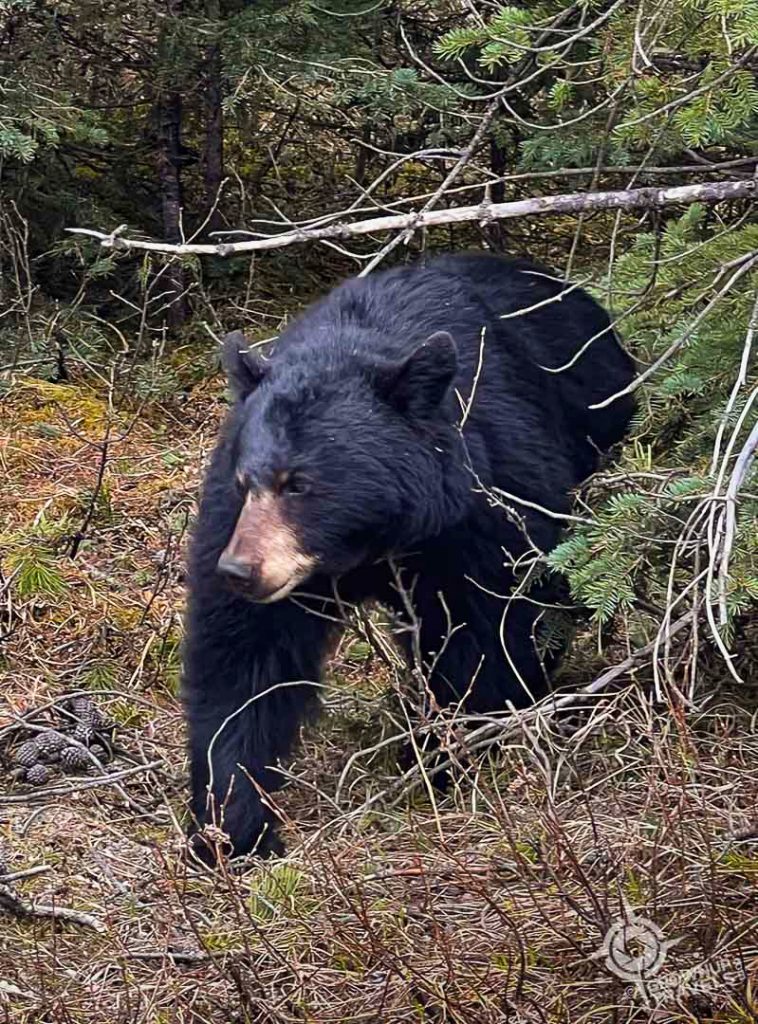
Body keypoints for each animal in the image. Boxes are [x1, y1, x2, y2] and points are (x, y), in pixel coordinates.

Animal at [182, 252, 635, 861]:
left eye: (298, 483)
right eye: (245, 479)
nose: (240, 570)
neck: (369, 542)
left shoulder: (481, 505)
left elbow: (490, 627)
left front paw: (449, 757)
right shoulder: (233, 525)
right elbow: (243, 659)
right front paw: (232, 826)